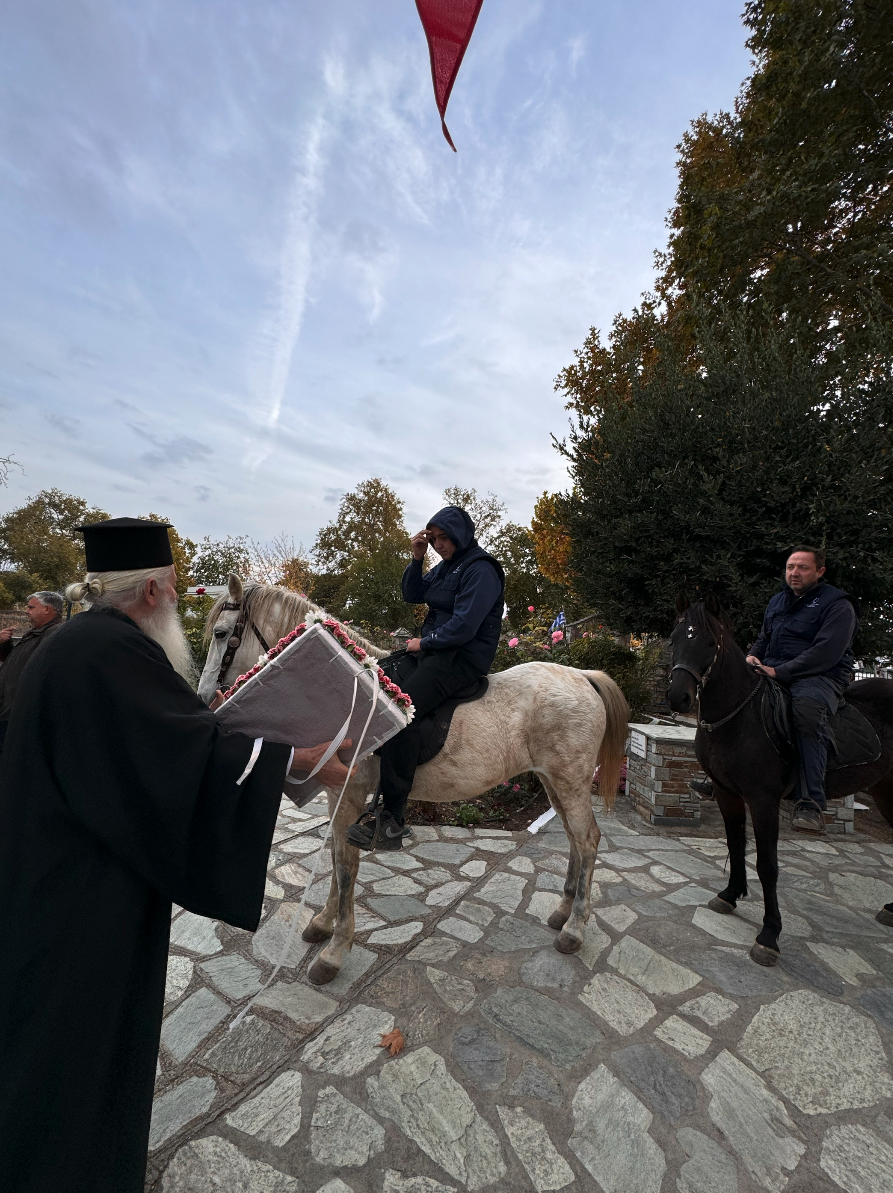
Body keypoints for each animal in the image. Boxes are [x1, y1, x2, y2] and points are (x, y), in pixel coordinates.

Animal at [196, 575, 624, 978]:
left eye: (221, 633)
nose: (203, 699)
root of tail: (583, 676)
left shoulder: (351, 797)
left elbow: (346, 865)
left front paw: (334, 950)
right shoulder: (337, 796)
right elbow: (336, 857)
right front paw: (322, 923)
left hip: (569, 780)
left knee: (587, 839)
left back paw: (574, 929)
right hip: (553, 781)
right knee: (573, 837)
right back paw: (564, 911)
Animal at [667, 591, 891, 963]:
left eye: (710, 643)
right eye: (673, 639)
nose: (678, 697)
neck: (739, 717)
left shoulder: (763, 800)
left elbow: (767, 865)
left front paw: (769, 935)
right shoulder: (727, 792)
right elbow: (735, 843)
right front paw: (729, 895)